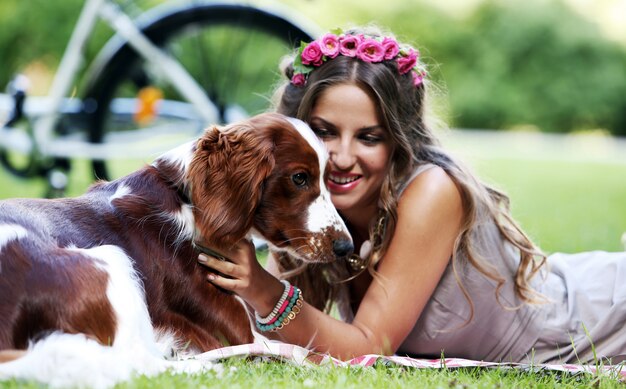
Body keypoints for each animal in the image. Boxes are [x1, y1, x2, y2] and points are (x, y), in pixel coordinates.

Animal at [0, 111, 352, 384]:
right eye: (299, 177)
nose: (345, 246)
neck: (190, 202)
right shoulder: (240, 333)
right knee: (133, 363)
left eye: (329, 178)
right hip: (111, 261)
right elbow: (319, 357)